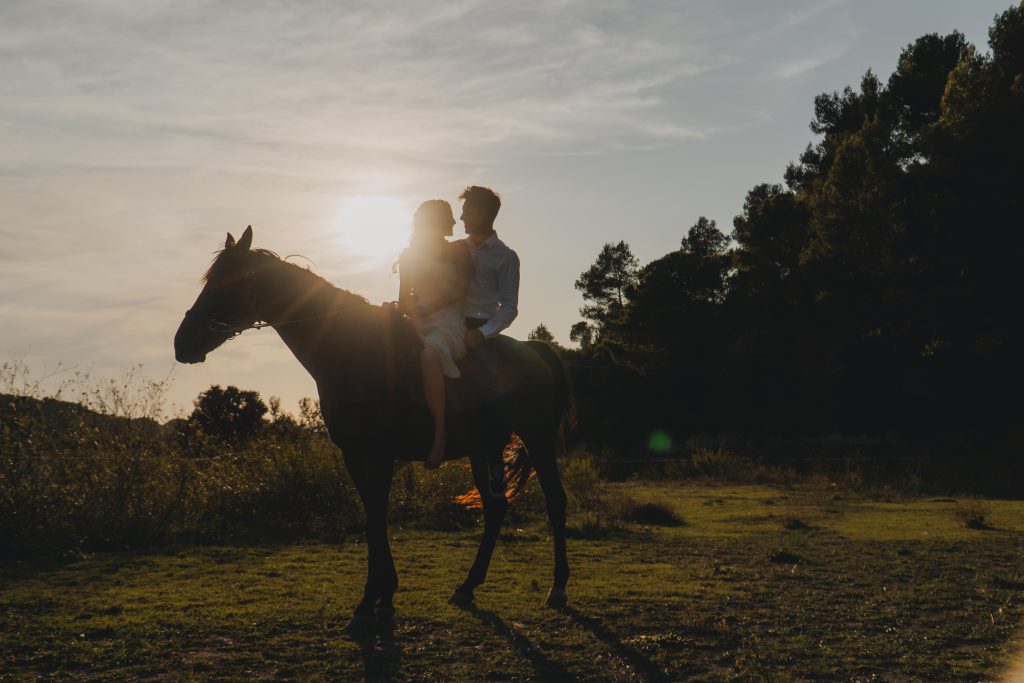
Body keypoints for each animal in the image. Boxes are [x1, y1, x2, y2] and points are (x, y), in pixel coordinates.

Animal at [173, 226, 574, 628]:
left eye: (225, 285)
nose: (181, 344)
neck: (352, 349)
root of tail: (535, 350)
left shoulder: (379, 456)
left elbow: (376, 521)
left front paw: (370, 602)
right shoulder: (355, 455)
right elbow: (372, 519)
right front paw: (383, 597)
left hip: (537, 439)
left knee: (555, 501)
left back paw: (557, 588)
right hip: (484, 448)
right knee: (495, 508)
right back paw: (467, 587)